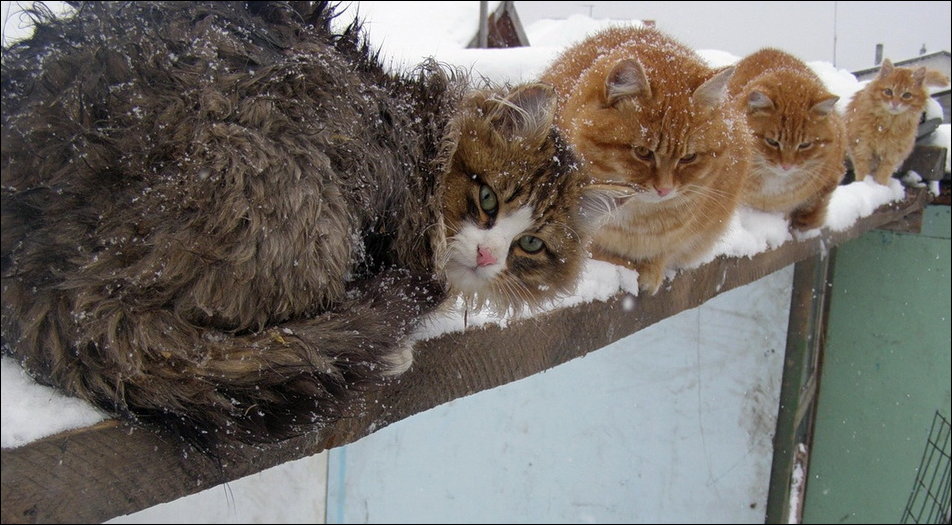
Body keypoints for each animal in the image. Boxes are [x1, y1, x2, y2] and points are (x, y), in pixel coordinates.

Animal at [0, 2, 608, 448]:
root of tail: (45, 273)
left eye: (530, 245)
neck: (426, 124)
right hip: (289, 182)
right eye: (486, 198)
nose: (488, 257)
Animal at [544, 26, 752, 294]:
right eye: (643, 152)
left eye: (688, 157)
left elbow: (667, 251)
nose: (664, 190)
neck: (637, 220)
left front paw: (652, 270)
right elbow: (596, 251)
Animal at [844, 56, 948, 184]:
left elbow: (882, 175)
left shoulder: (891, 156)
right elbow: (862, 172)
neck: (888, 124)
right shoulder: (862, 147)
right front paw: (864, 184)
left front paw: (879, 186)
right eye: (888, 91)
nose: (895, 103)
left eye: (907, 95)